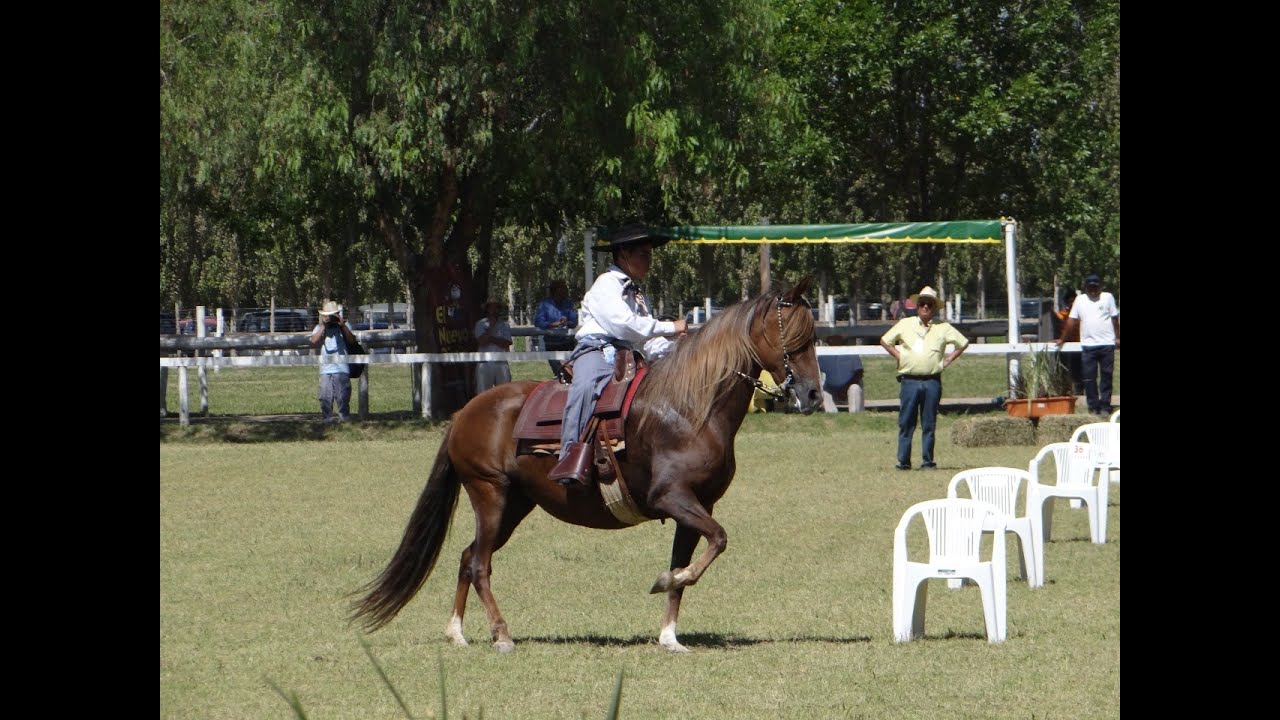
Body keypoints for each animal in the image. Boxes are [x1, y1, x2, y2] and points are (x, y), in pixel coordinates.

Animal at [350, 278, 822, 653]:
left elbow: (688, 562)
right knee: (480, 564)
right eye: (794, 336)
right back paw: (502, 635)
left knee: (468, 556)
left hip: (514, 505)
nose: (814, 394)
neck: (689, 409)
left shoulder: (696, 506)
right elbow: (718, 541)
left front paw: (669, 635)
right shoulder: (671, 498)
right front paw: (664, 584)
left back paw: (457, 632)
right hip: (490, 494)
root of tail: (466, 411)